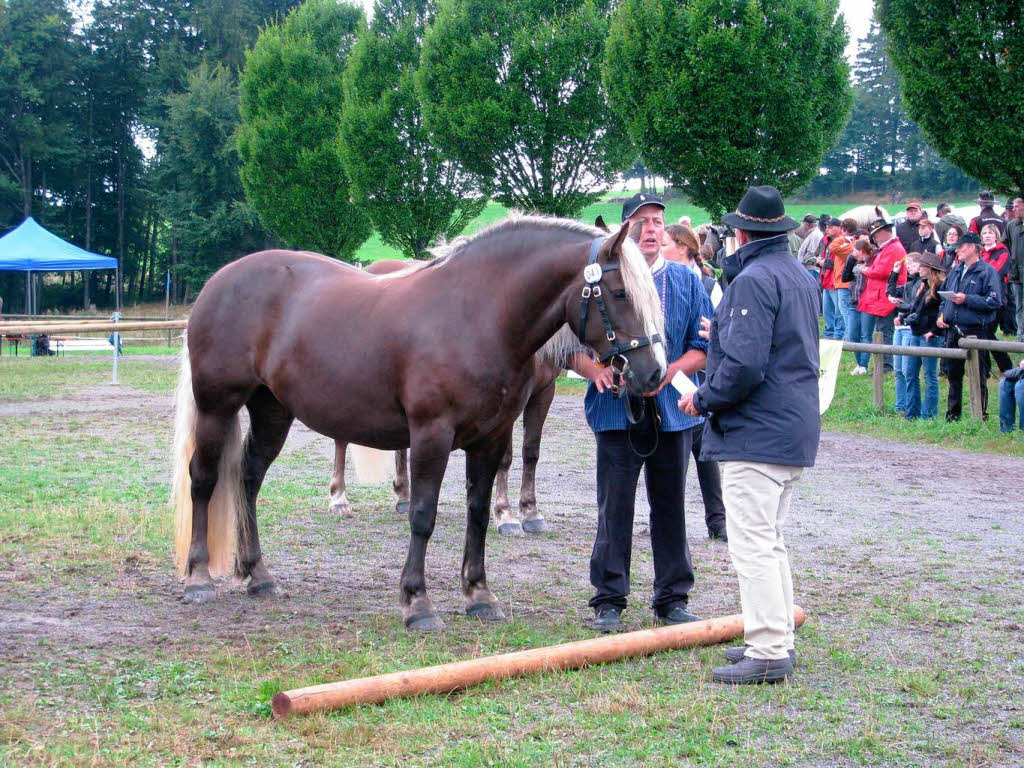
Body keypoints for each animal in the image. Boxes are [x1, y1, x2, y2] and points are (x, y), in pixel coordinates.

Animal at [327, 262, 565, 536]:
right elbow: (505, 458)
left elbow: (531, 451)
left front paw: (530, 511)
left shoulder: (543, 391)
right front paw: (505, 515)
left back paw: (403, 495)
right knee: (341, 439)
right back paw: (339, 499)